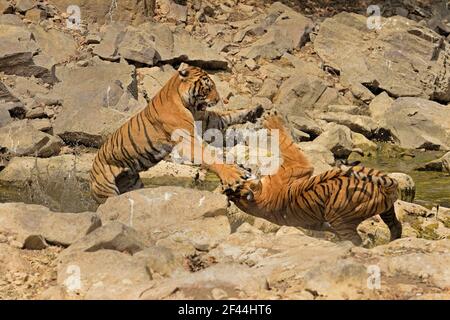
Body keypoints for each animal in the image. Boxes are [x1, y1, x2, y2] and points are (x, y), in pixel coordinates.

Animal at [89, 66, 262, 204]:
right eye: (207, 88)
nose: (218, 99)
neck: (188, 104)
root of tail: (93, 167)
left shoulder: (206, 120)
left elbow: (228, 115)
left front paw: (253, 111)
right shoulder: (187, 141)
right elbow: (208, 156)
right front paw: (233, 174)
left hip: (132, 184)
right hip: (106, 191)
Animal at [227, 111, 402, 246]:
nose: (234, 164)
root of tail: (387, 187)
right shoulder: (298, 165)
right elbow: (286, 143)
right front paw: (272, 119)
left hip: (378, 197)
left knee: (396, 225)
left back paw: (393, 240)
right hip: (340, 216)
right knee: (356, 239)